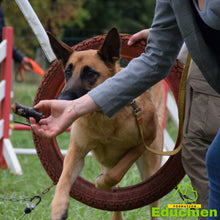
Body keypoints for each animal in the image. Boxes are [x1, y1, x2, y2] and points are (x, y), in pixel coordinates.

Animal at [47, 27, 163, 220]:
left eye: (90, 73)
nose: (62, 101)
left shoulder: (143, 142)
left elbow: (118, 172)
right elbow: (64, 178)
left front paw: (101, 182)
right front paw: (58, 207)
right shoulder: (76, 151)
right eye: (68, 72)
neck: (103, 115)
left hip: (150, 170)